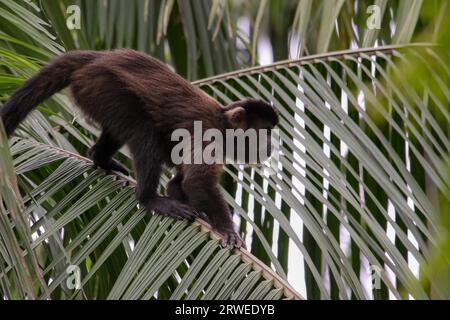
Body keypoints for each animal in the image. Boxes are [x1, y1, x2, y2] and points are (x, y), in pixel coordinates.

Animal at [0, 49, 278, 248]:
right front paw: (227, 230)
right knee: (144, 133)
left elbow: (178, 183)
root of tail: (101, 56)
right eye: (265, 131)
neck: (223, 123)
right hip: (102, 85)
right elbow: (196, 181)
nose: (270, 144)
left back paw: (101, 159)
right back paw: (149, 199)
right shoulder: (207, 134)